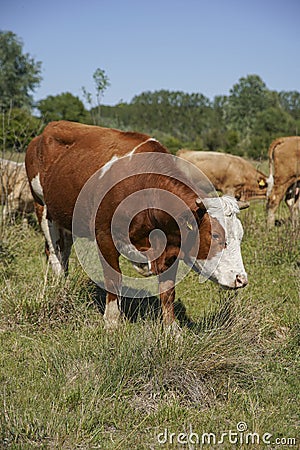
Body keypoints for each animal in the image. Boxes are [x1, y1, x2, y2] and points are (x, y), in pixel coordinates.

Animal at [24, 121, 248, 332]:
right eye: (216, 236)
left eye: (241, 236)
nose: (241, 279)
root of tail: (47, 130)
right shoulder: (105, 237)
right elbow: (113, 279)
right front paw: (112, 322)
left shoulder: (171, 246)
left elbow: (168, 290)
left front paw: (172, 330)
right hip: (42, 206)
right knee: (54, 252)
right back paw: (58, 287)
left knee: (65, 250)